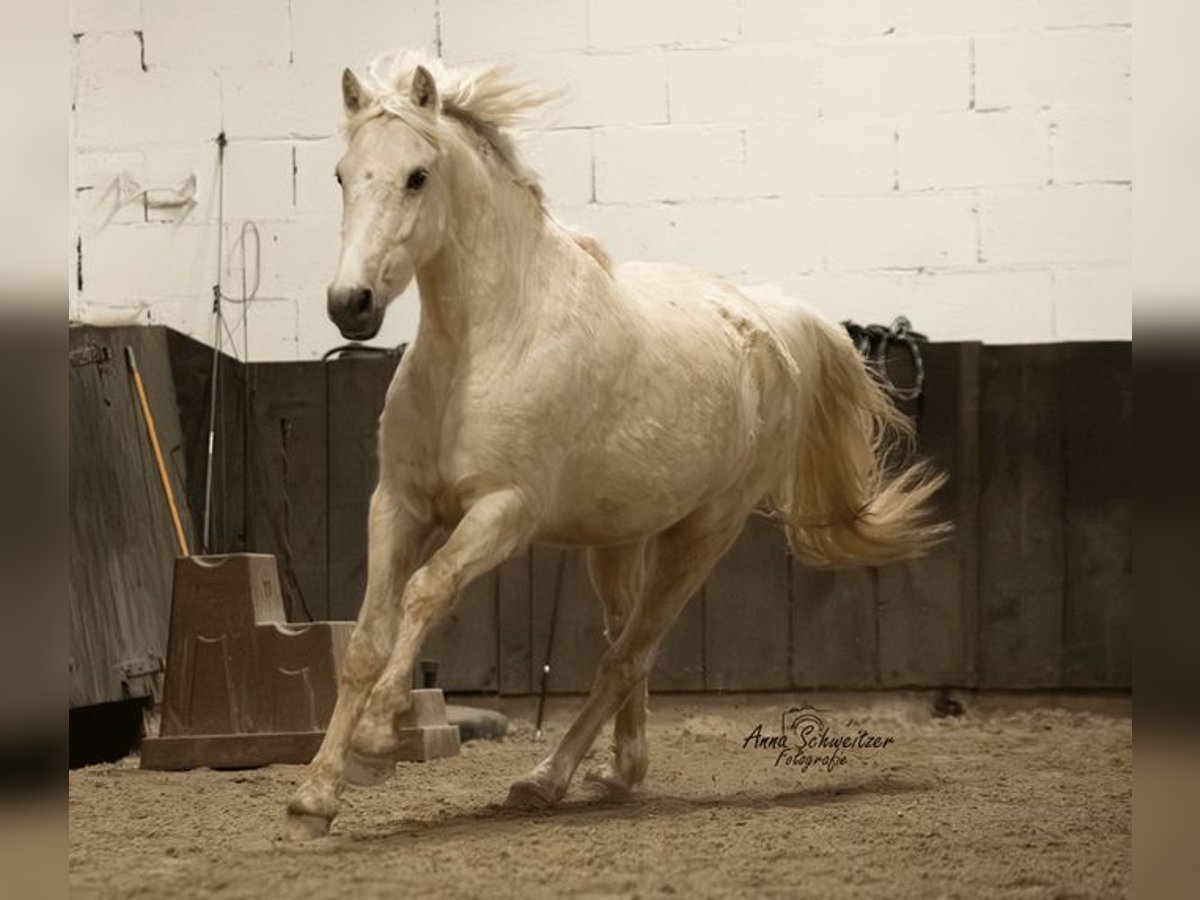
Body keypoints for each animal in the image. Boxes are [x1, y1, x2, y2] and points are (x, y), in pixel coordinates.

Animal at [288, 49, 945, 840]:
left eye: (417, 175)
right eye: (341, 174)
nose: (349, 305)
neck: (484, 343)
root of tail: (768, 319)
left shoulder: (502, 513)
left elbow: (425, 593)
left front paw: (377, 741)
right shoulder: (400, 505)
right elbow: (363, 640)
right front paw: (315, 797)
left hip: (702, 535)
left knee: (628, 654)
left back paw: (546, 779)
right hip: (618, 541)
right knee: (629, 644)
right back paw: (618, 771)